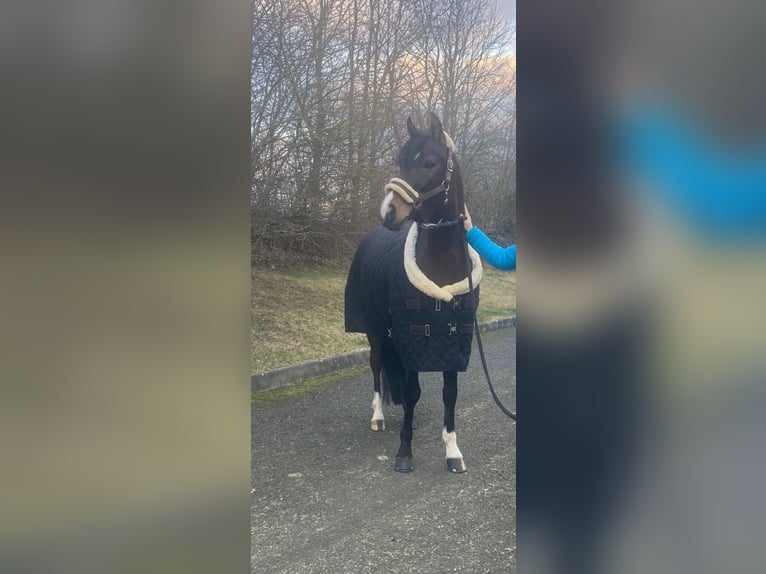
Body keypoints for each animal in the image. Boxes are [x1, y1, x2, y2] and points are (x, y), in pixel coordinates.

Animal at [344, 112, 482, 473]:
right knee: (377, 366)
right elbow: (412, 389)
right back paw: (378, 417)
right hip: (376, 330)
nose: (389, 212)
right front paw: (404, 451)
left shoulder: (451, 343)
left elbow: (448, 394)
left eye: (430, 162)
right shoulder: (413, 335)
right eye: (401, 160)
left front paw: (452, 451)